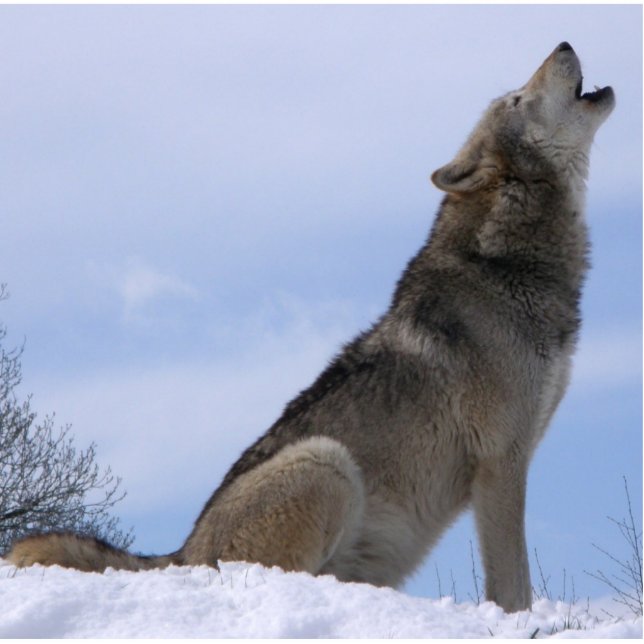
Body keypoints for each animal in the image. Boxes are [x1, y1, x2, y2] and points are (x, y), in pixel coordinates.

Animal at [6, 43, 613, 613]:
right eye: (516, 99)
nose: (564, 42)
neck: (506, 264)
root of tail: (180, 554)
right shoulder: (500, 461)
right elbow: (514, 584)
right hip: (327, 462)